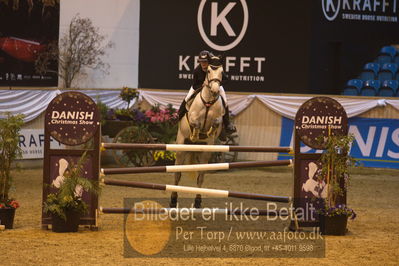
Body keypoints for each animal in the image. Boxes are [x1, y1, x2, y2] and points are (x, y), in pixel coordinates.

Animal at [172, 56, 227, 208]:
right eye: (208, 71)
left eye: (221, 72)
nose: (215, 91)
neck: (208, 101)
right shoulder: (192, 117)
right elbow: (195, 123)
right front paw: (196, 133)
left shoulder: (219, 117)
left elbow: (216, 122)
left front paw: (210, 131)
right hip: (181, 146)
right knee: (177, 174)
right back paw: (173, 199)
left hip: (205, 152)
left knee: (200, 176)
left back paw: (197, 201)